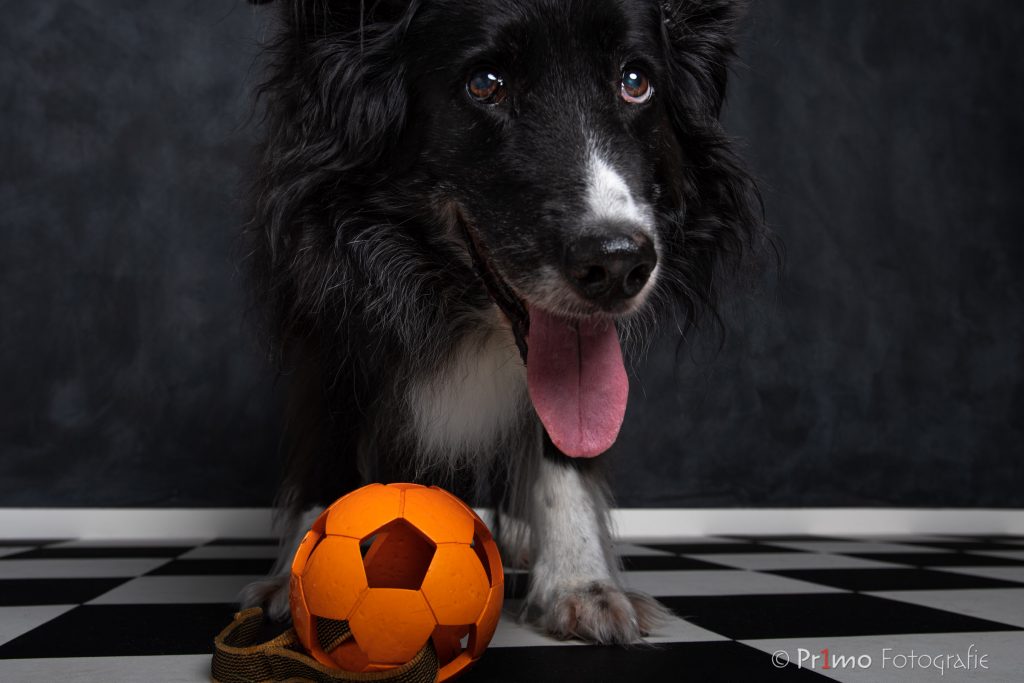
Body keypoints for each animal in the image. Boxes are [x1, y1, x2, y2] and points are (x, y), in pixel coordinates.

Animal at [241, 0, 761, 647]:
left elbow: (564, 447)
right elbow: (329, 441)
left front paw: (580, 584)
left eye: (635, 81)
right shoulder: (331, 314)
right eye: (486, 83)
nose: (618, 264)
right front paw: (303, 579)